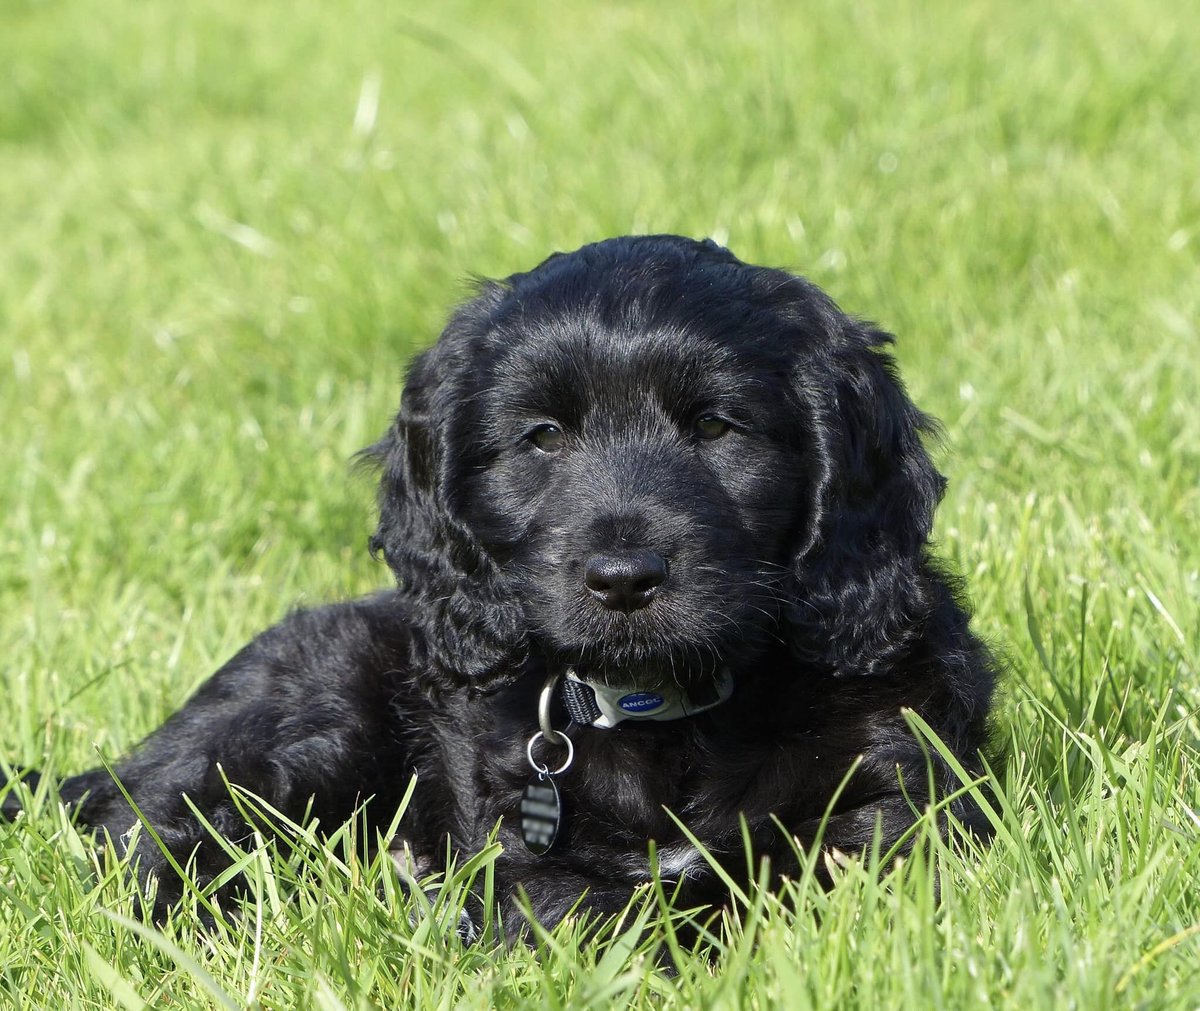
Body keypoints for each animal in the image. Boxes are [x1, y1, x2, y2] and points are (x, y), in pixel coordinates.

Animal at [7, 234, 993, 931]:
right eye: (542, 437)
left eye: (718, 427)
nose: (623, 579)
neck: (664, 712)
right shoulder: (523, 856)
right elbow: (609, 922)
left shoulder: (893, 802)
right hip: (302, 720)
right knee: (153, 835)